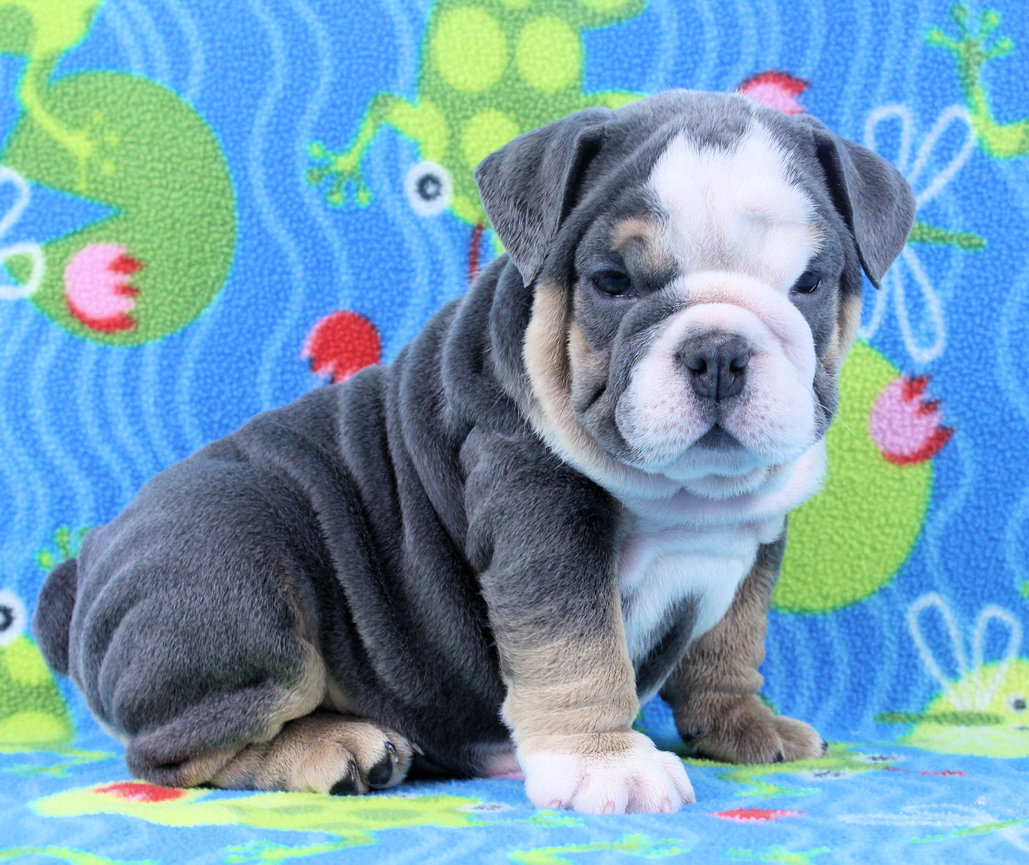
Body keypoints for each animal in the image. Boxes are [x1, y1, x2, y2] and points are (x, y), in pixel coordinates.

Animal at [36, 91, 913, 814]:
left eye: (808, 283)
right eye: (611, 282)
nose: (719, 352)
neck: (688, 496)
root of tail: (82, 573)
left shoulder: (754, 542)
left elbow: (730, 643)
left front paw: (741, 723)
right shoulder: (543, 521)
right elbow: (580, 648)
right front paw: (604, 763)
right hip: (232, 570)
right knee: (176, 753)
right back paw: (336, 747)